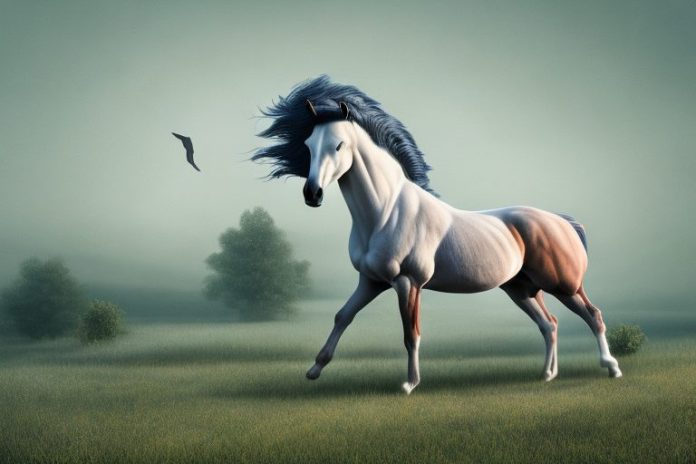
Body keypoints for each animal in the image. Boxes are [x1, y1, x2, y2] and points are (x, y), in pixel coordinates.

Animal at [253, 75, 622, 394]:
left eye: (339, 145)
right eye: (308, 145)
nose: (312, 194)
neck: (386, 212)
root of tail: (562, 222)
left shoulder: (408, 282)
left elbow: (411, 333)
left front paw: (409, 384)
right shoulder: (370, 281)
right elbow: (342, 316)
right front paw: (314, 370)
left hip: (563, 284)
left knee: (593, 315)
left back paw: (612, 368)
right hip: (521, 289)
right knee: (550, 324)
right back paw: (547, 374)